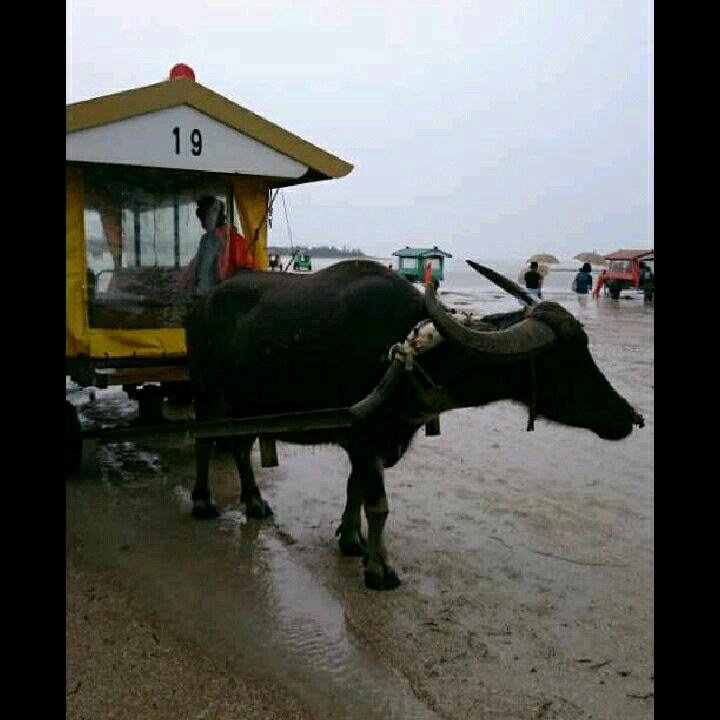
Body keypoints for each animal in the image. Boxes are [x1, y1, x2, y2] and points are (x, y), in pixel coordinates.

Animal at [184, 258, 640, 592]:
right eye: (564, 360)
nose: (629, 417)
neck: (412, 355)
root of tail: (201, 304)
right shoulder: (365, 438)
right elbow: (379, 505)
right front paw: (379, 570)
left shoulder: (374, 441)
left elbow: (355, 491)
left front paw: (351, 541)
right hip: (208, 395)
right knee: (203, 442)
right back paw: (204, 502)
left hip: (244, 404)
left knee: (240, 446)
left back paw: (255, 502)